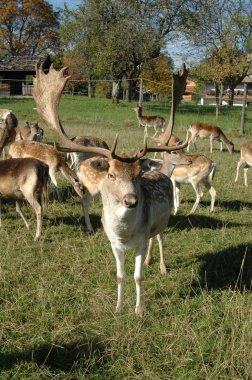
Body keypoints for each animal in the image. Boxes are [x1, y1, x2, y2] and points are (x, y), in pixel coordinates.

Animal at [32, 63, 189, 316]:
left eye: (138, 174)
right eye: (111, 174)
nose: (131, 200)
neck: (124, 234)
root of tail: (162, 173)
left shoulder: (140, 241)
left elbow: (137, 277)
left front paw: (138, 310)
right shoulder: (113, 243)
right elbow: (120, 275)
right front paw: (118, 308)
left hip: (162, 222)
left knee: (160, 237)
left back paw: (162, 266)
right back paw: (150, 261)